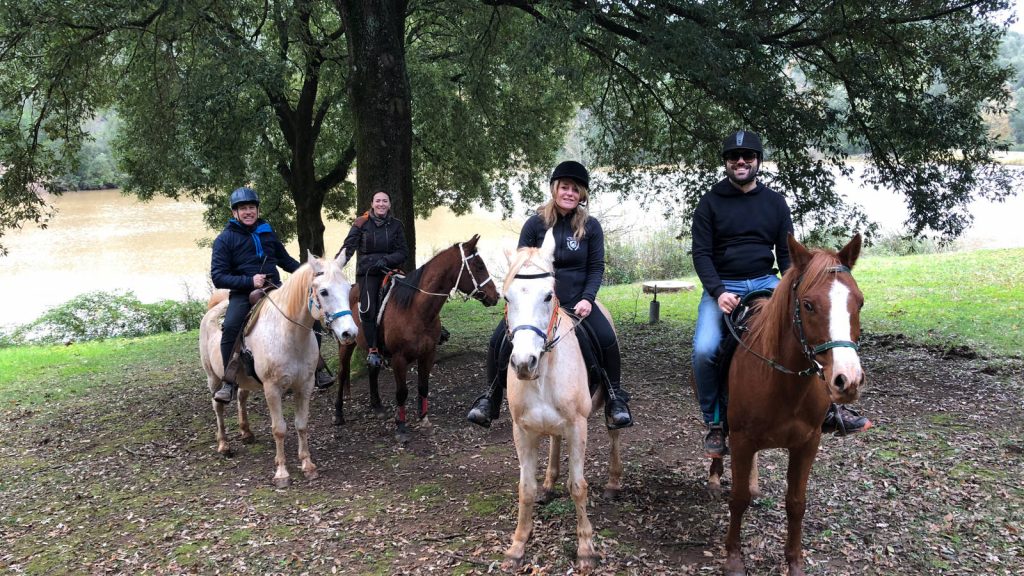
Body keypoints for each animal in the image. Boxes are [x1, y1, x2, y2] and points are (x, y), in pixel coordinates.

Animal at [199, 251, 360, 483]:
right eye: (324, 291)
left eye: (348, 289)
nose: (349, 333)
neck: (289, 335)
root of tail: (213, 309)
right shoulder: (272, 389)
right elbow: (279, 429)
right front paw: (282, 472)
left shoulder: (305, 385)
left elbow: (301, 424)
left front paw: (307, 465)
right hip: (213, 377)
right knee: (218, 406)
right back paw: (224, 445)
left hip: (244, 380)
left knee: (241, 398)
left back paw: (246, 433)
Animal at [333, 234, 497, 438]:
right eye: (479, 266)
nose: (496, 295)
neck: (415, 309)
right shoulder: (399, 358)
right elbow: (402, 392)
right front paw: (401, 427)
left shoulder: (428, 354)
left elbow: (423, 386)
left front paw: (423, 418)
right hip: (345, 344)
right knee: (341, 374)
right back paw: (338, 414)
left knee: (372, 369)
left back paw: (377, 406)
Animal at [497, 228, 618, 569]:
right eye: (507, 297)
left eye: (548, 295)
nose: (524, 363)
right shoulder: (522, 430)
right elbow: (525, 488)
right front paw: (518, 545)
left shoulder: (578, 426)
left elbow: (578, 487)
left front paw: (586, 548)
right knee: (553, 439)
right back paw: (550, 482)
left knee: (614, 433)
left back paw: (614, 482)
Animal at [720, 231, 864, 573]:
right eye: (808, 305)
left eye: (860, 302)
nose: (847, 380)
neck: (783, 385)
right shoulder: (741, 440)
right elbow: (738, 499)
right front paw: (733, 558)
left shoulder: (807, 443)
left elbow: (796, 503)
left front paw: (795, 561)